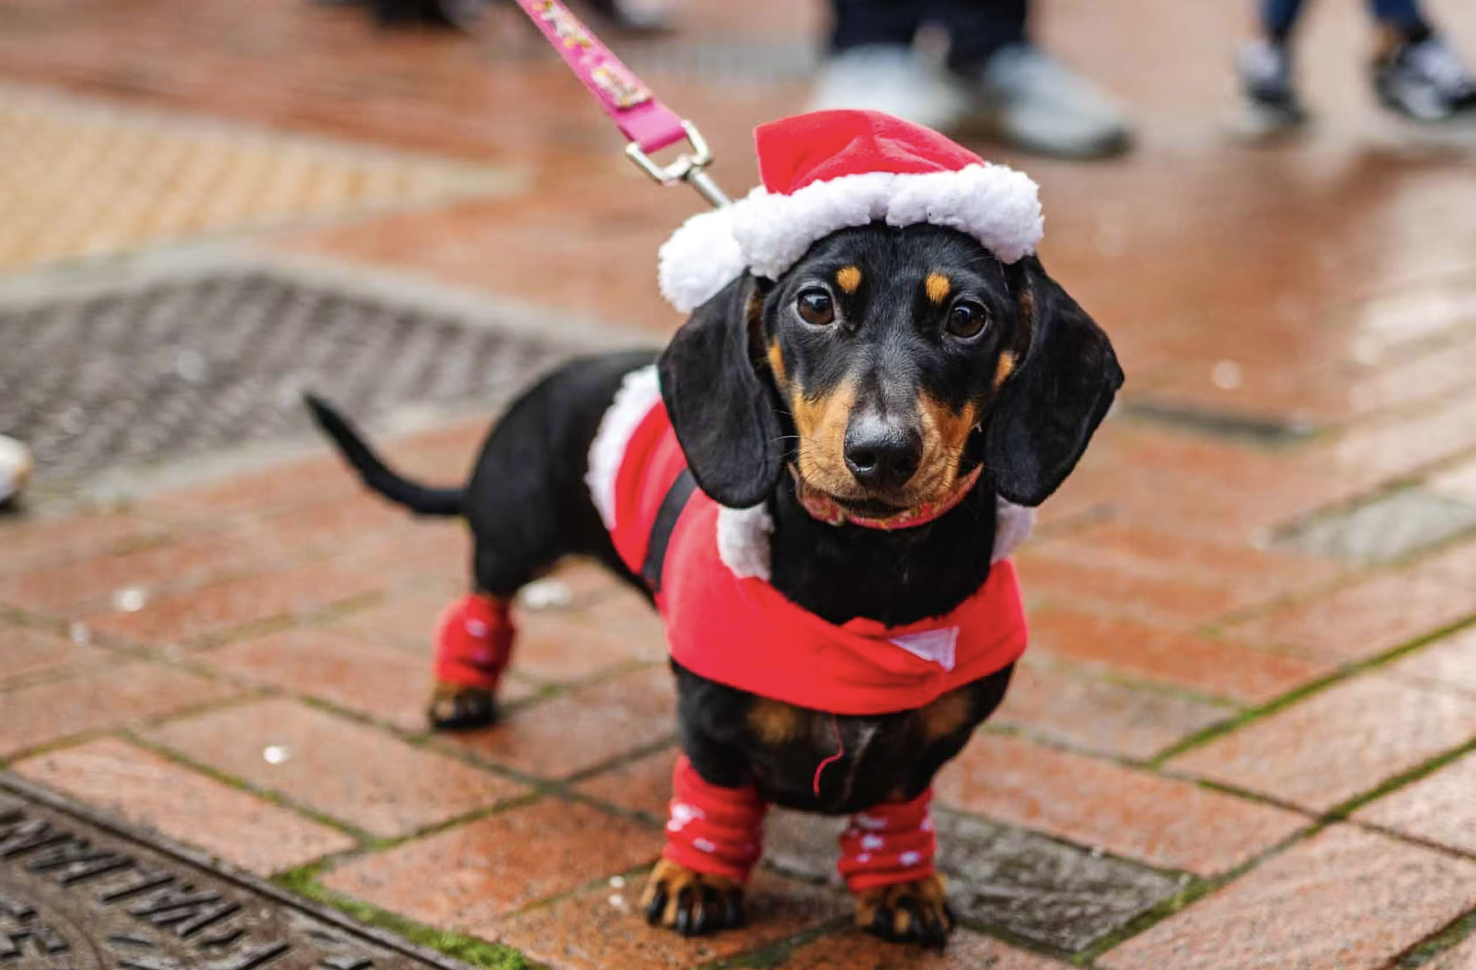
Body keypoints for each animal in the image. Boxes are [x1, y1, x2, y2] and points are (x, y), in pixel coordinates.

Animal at [307, 112, 1122, 948]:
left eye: (967, 317)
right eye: (815, 305)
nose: (882, 453)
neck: (868, 573)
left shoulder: (926, 749)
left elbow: (894, 807)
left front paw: (900, 881)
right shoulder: (709, 724)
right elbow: (714, 795)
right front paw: (696, 875)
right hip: (513, 534)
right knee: (483, 599)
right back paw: (460, 687)